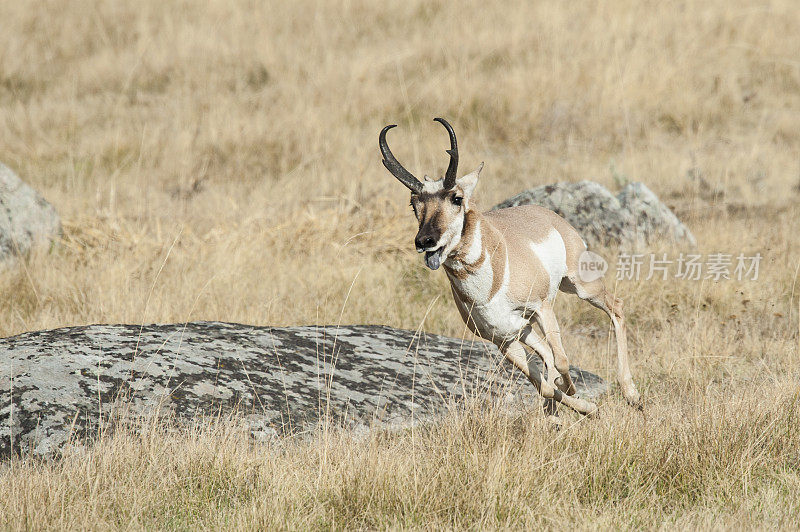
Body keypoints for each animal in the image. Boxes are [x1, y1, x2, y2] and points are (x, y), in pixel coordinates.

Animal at [382, 118, 644, 418]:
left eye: (456, 198)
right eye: (414, 203)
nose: (425, 241)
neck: (490, 287)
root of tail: (545, 214)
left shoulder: (542, 308)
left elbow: (562, 362)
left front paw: (574, 395)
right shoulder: (503, 339)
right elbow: (543, 383)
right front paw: (585, 407)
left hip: (579, 286)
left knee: (615, 307)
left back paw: (632, 395)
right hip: (526, 328)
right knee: (548, 358)